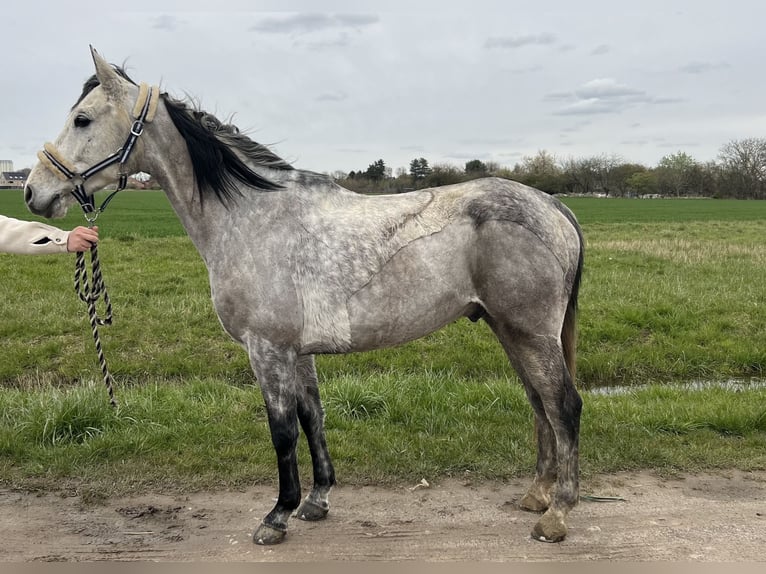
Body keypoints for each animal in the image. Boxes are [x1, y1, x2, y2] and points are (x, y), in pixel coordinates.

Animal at [24, 47, 584, 545]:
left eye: (81, 119)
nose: (33, 191)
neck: (251, 218)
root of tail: (553, 205)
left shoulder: (267, 349)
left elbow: (282, 430)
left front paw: (277, 515)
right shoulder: (298, 353)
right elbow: (313, 418)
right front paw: (316, 501)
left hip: (530, 333)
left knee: (564, 406)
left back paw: (556, 516)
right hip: (508, 330)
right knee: (539, 404)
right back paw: (536, 495)